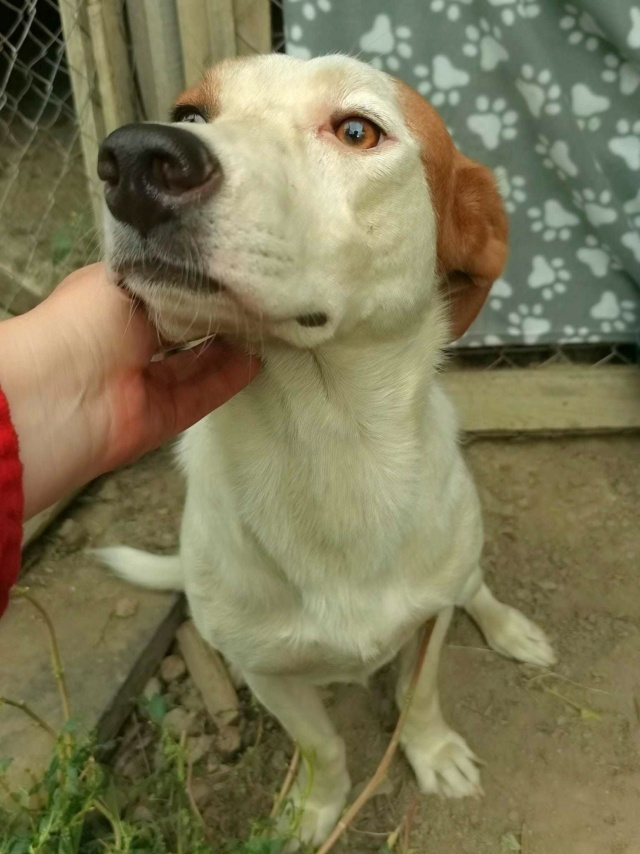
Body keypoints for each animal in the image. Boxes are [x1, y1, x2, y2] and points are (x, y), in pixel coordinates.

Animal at [97, 55, 556, 848]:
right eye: (190, 114)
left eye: (357, 131)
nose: (134, 158)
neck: (329, 444)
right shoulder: (265, 672)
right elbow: (322, 746)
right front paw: (316, 810)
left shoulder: (430, 621)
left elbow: (419, 695)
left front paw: (433, 753)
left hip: (461, 560)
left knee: (475, 587)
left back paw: (511, 629)